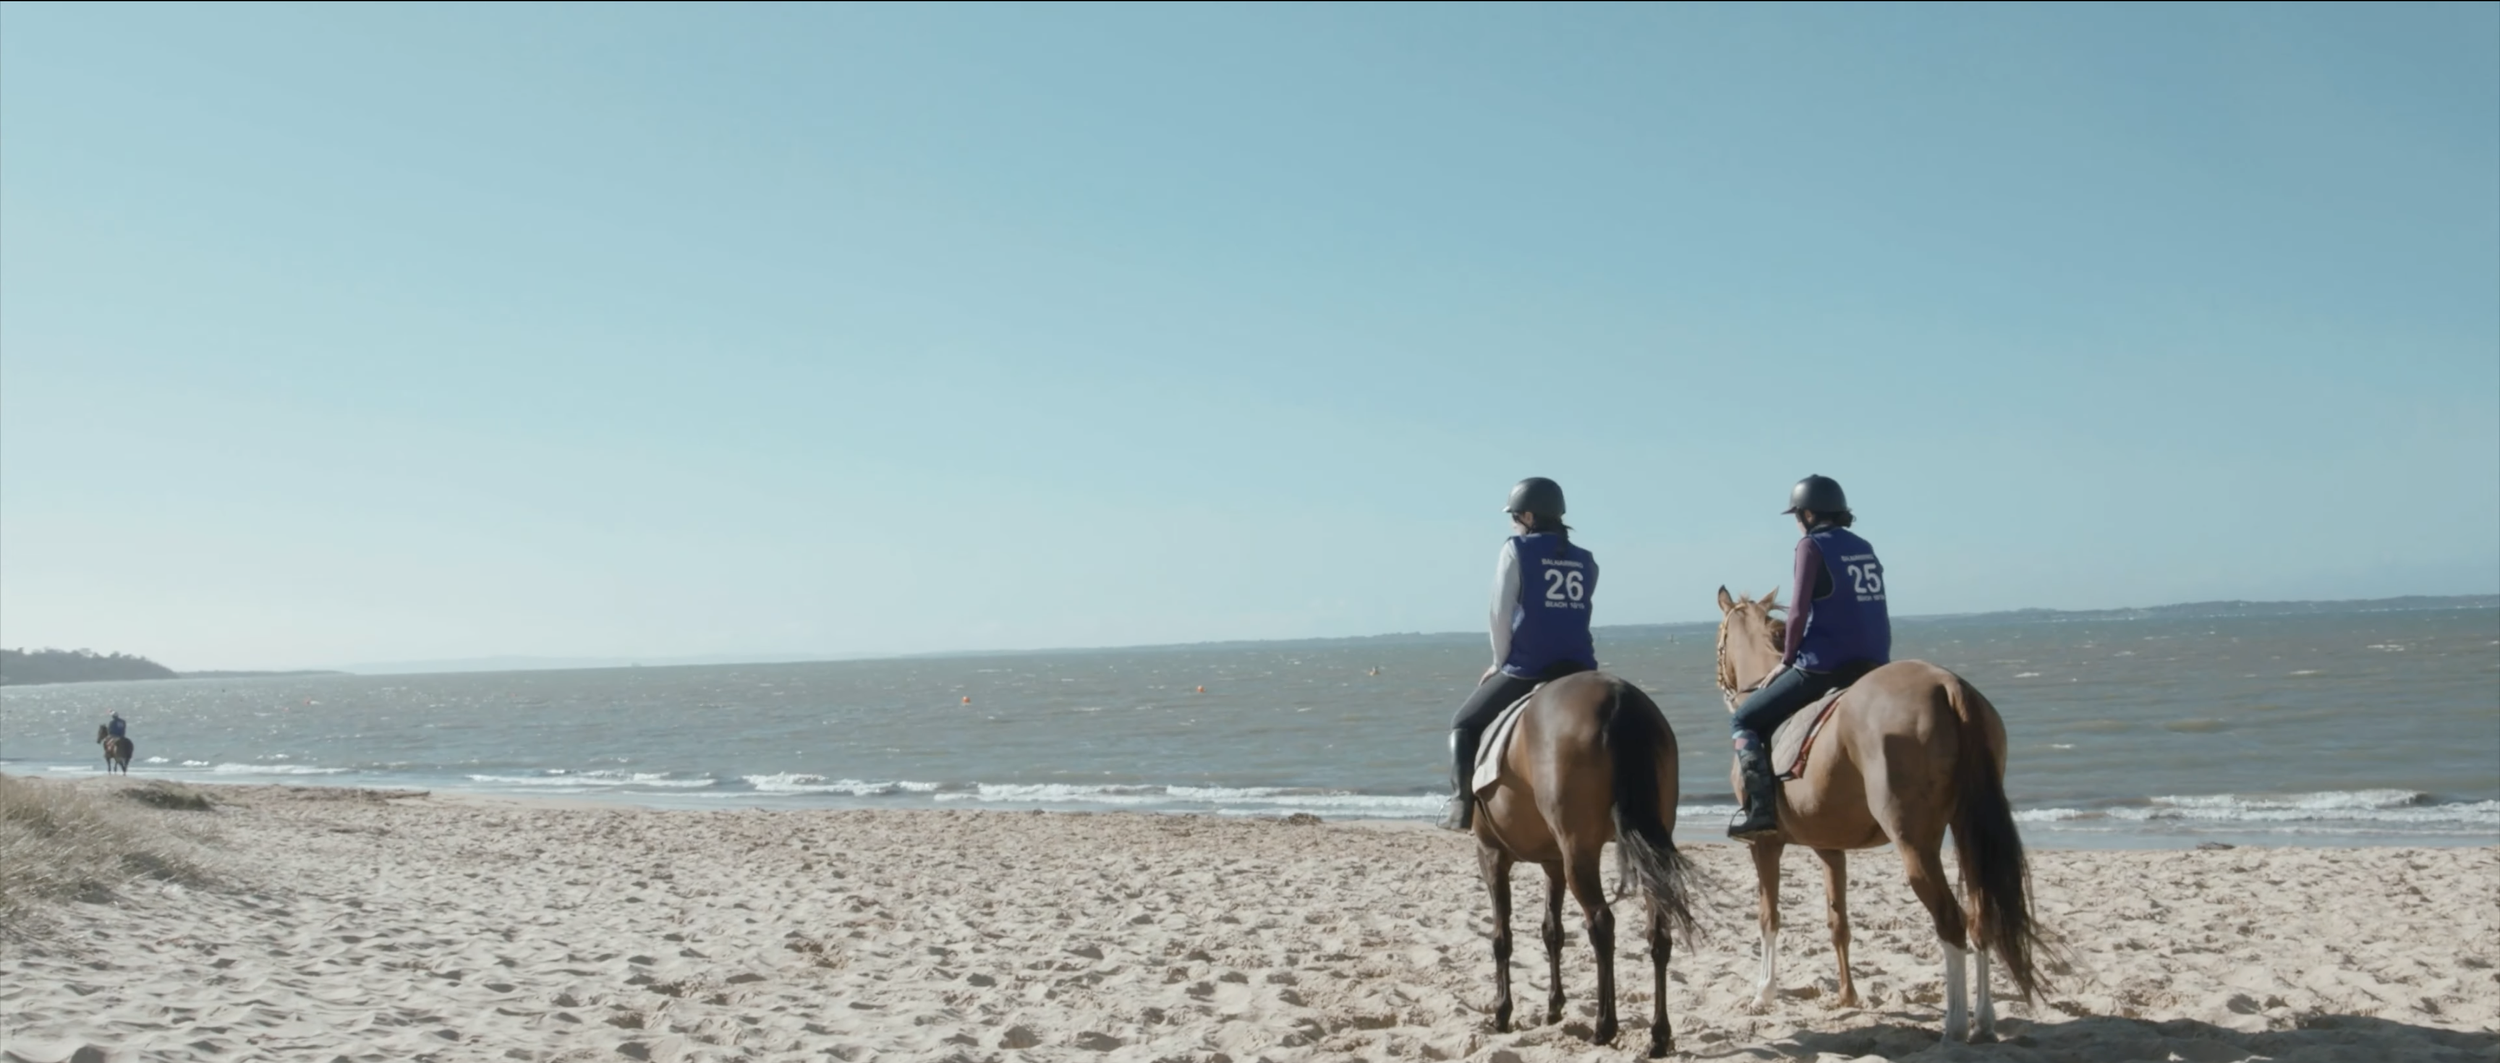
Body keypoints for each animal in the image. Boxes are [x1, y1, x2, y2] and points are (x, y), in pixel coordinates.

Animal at [1466, 670, 1697, 1057]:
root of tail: (1618, 697)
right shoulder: (1553, 862)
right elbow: (1552, 932)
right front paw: (1553, 1007)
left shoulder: (1492, 855)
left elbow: (1501, 937)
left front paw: (1502, 1012)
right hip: (1645, 852)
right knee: (1658, 934)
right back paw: (1657, 1036)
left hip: (1579, 853)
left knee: (1601, 924)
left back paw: (1604, 1026)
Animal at [1712, 587, 2048, 1043]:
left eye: (1720, 637)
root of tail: (1946, 684)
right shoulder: (1830, 848)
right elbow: (1838, 922)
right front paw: (1847, 997)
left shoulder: (1765, 844)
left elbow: (1768, 916)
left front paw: (1763, 993)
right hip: (1969, 833)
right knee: (1981, 917)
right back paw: (1983, 1023)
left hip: (1915, 846)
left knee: (1951, 921)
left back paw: (1955, 1026)